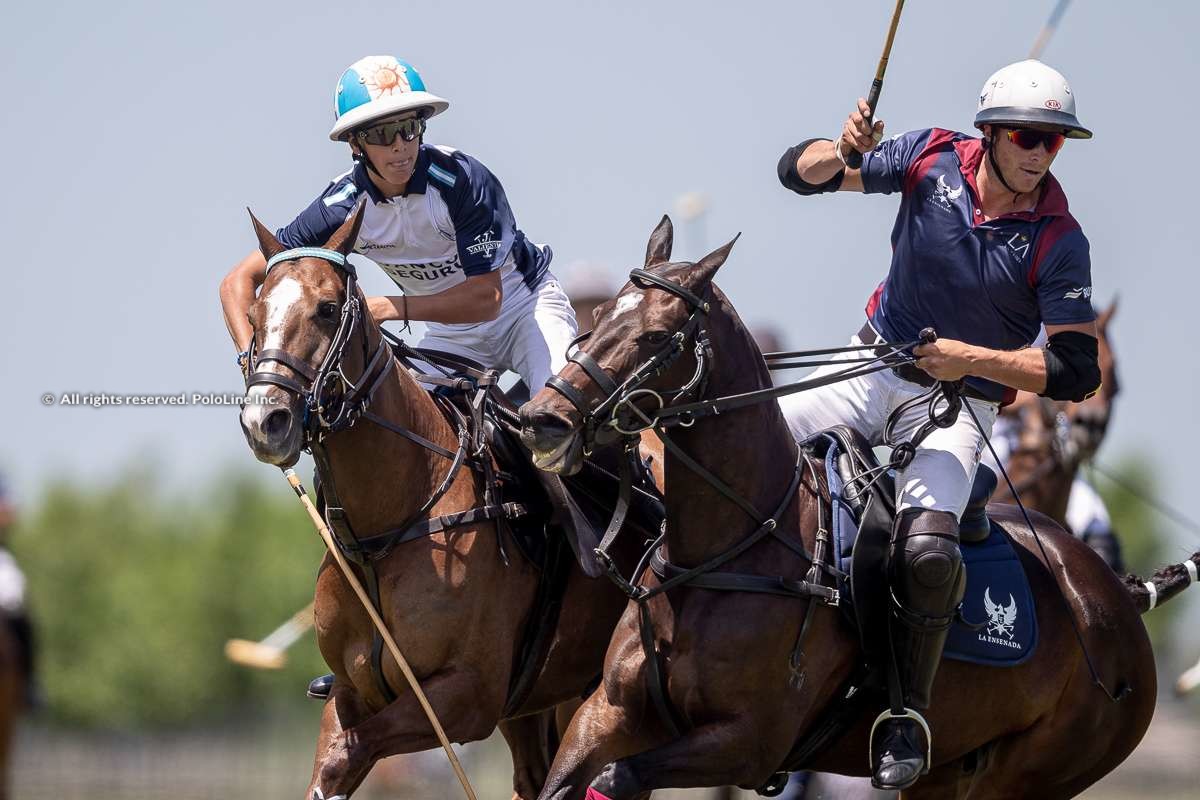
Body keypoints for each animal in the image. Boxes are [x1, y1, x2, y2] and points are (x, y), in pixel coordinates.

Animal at [237, 206, 662, 800]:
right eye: (255, 313)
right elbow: (331, 767)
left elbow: (351, 753)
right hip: (536, 704)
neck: (386, 530)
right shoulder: (350, 690)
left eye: (327, 309)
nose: (265, 421)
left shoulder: (466, 695)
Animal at [520, 214, 1195, 800]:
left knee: (928, 562)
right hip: (947, 775)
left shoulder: (748, 744)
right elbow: (565, 780)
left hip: (1028, 775)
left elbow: (617, 778)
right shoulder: (605, 712)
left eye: (657, 337)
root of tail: (1116, 599)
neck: (729, 548)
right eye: (600, 315)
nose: (543, 420)